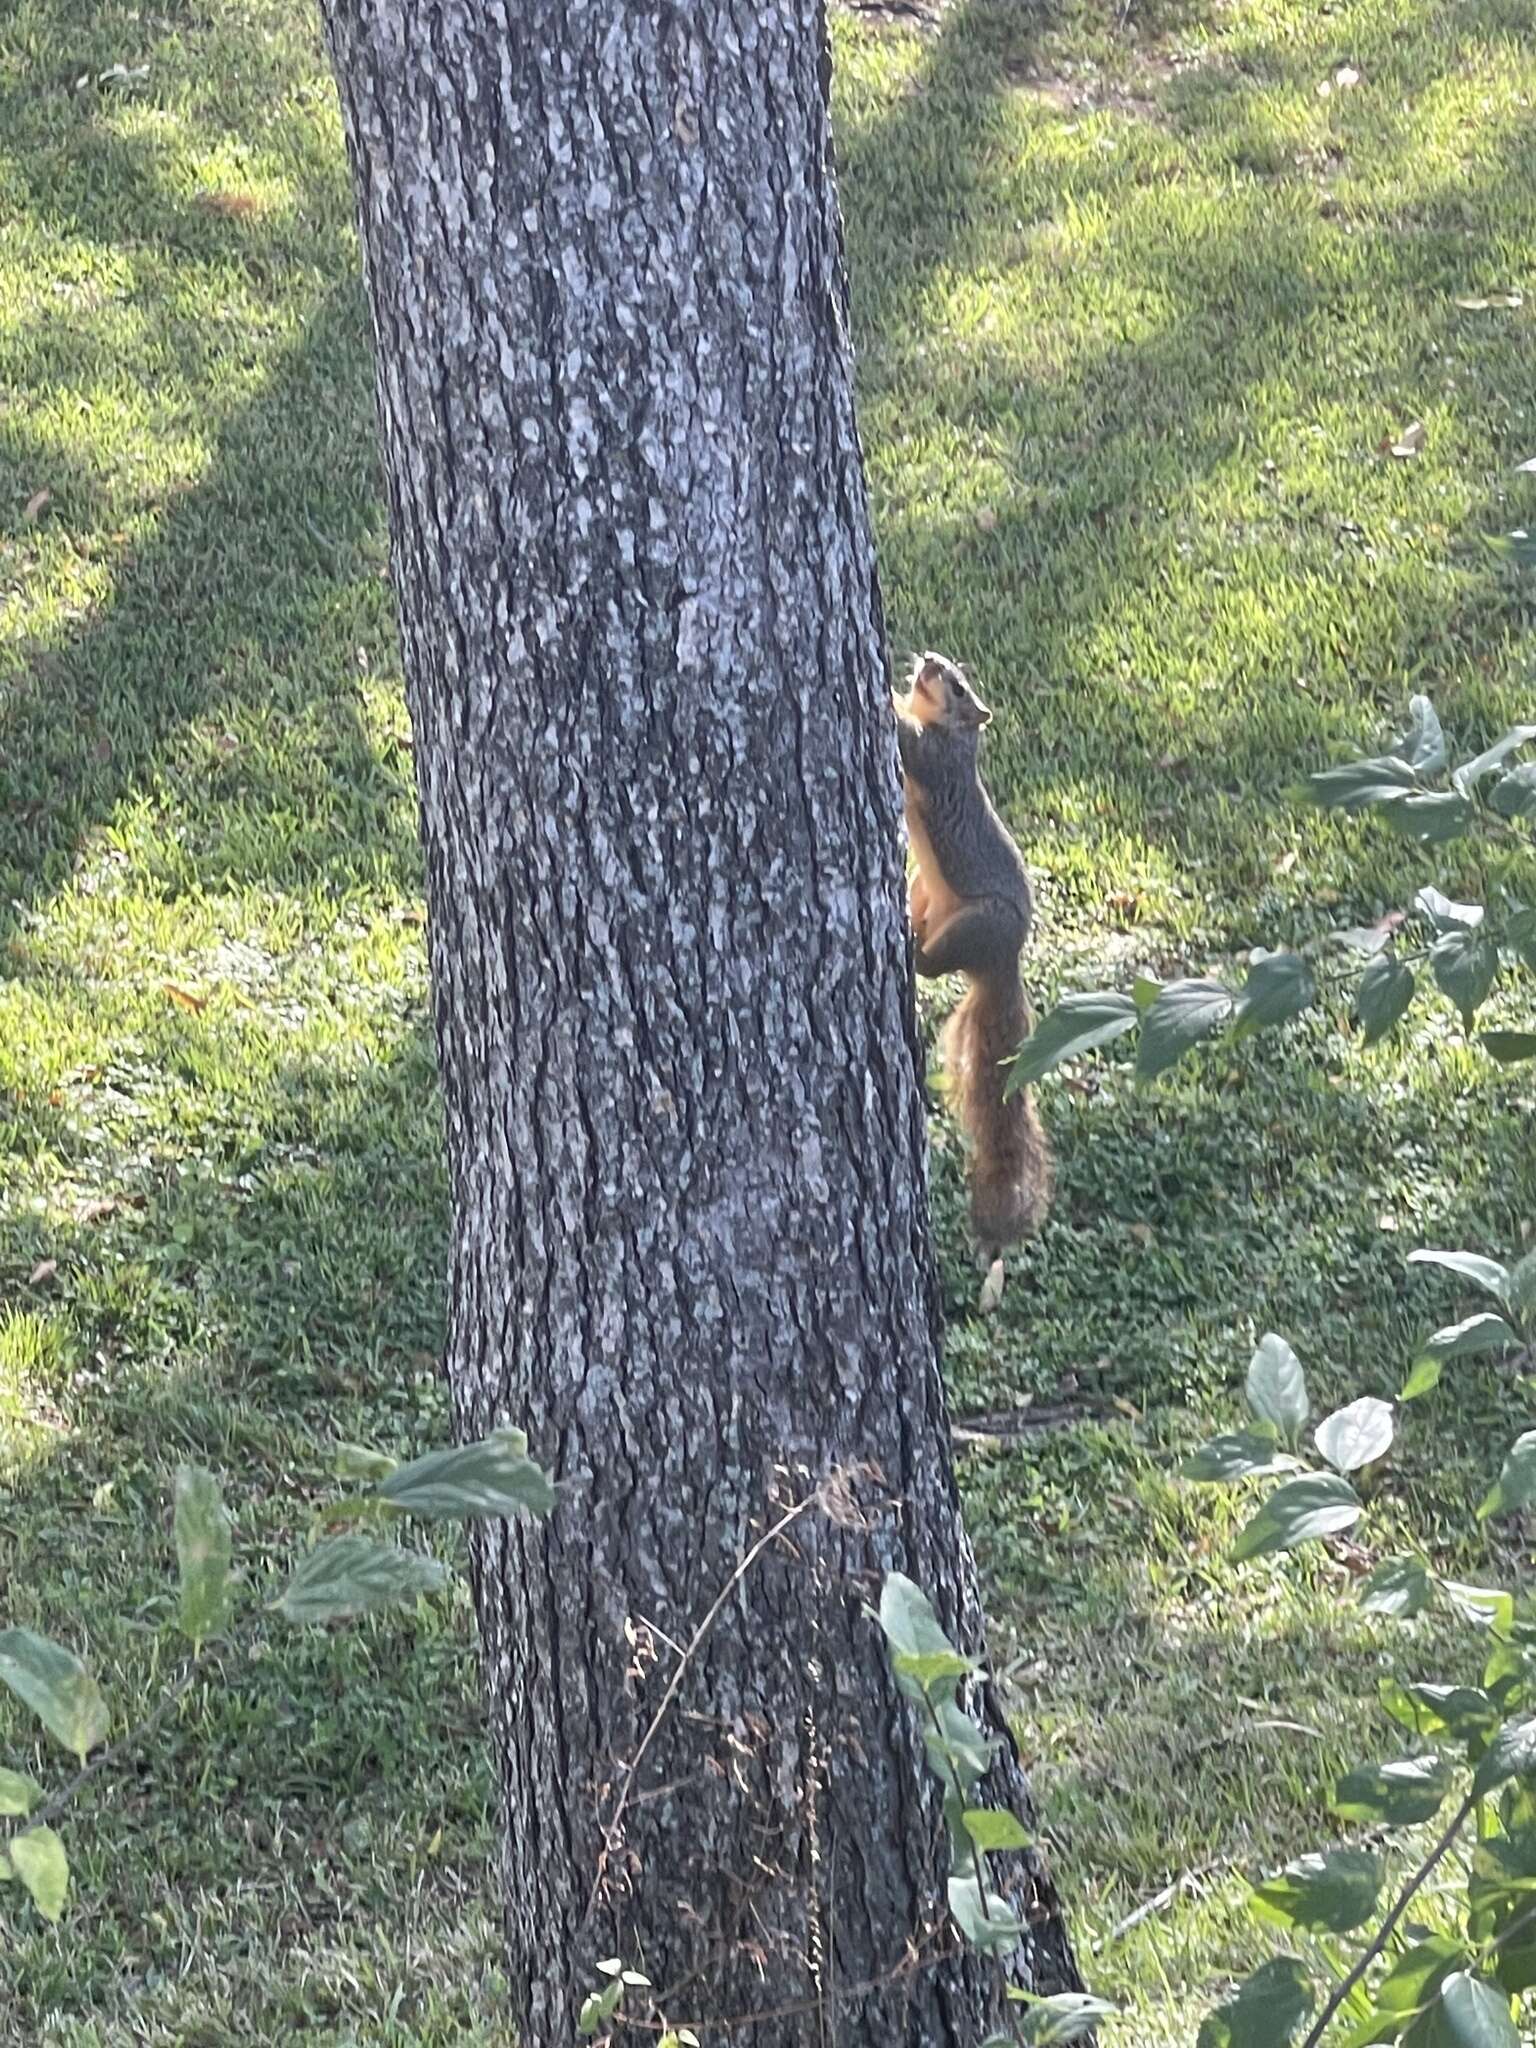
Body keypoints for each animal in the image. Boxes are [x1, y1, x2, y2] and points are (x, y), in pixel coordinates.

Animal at [888, 655, 1056, 1245]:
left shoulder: (936, 759)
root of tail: (1003, 963)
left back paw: (914, 947)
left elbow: (909, 742)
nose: (928, 661)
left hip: (976, 927)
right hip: (932, 895)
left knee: (933, 968)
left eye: (959, 688)